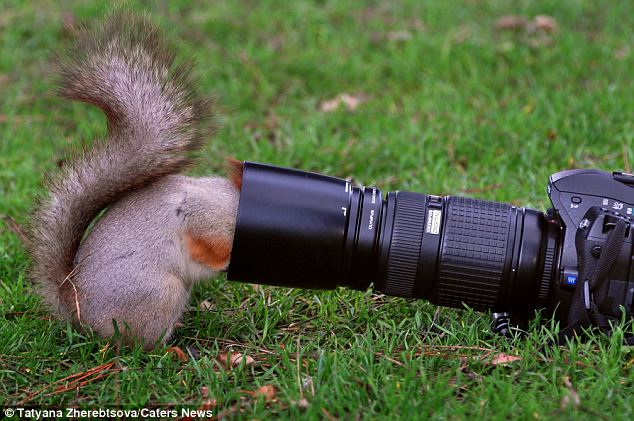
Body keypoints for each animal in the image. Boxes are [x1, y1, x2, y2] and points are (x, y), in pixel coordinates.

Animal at [26, 12, 242, 348]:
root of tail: (80, 313)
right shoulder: (204, 216)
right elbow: (204, 246)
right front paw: (225, 261)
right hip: (160, 295)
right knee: (140, 345)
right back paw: (171, 350)